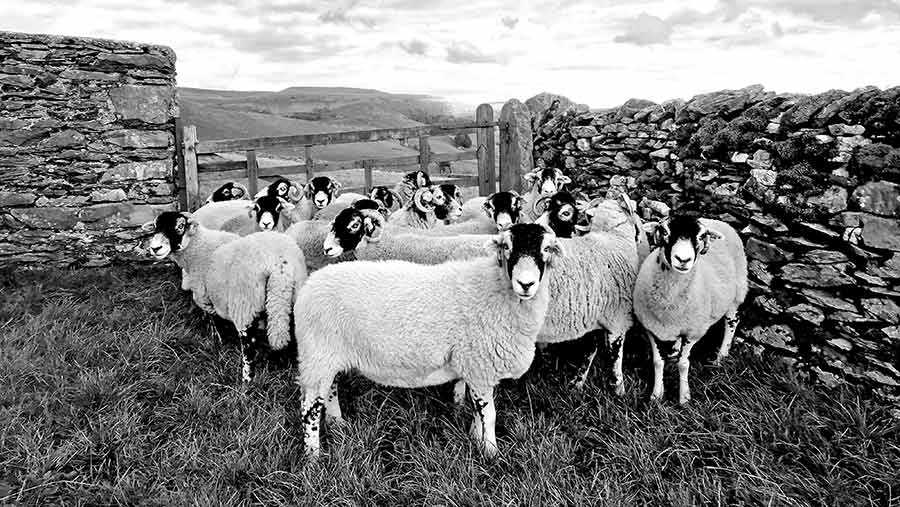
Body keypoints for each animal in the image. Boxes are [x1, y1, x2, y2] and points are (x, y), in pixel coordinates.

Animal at [142, 210, 308, 380]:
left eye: (180, 226)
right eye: (155, 227)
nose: (155, 248)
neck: (198, 247)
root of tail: (280, 264)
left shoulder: (205, 299)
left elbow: (214, 322)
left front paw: (217, 341)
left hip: (244, 305)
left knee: (249, 346)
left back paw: (247, 378)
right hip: (291, 297)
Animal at [294, 224, 564, 458]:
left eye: (547, 248)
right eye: (507, 246)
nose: (526, 284)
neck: (495, 289)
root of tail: (310, 285)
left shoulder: (475, 367)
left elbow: (479, 412)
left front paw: (475, 439)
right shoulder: (478, 365)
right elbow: (489, 415)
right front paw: (491, 453)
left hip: (330, 356)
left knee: (330, 389)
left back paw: (337, 423)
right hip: (317, 353)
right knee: (309, 409)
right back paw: (313, 457)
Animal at [632, 216, 752, 406]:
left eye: (701, 236)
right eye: (664, 231)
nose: (683, 259)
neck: (669, 304)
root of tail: (717, 221)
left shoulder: (693, 331)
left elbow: (683, 364)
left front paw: (684, 398)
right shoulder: (650, 327)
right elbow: (658, 362)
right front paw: (656, 396)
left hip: (736, 292)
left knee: (732, 322)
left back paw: (721, 357)